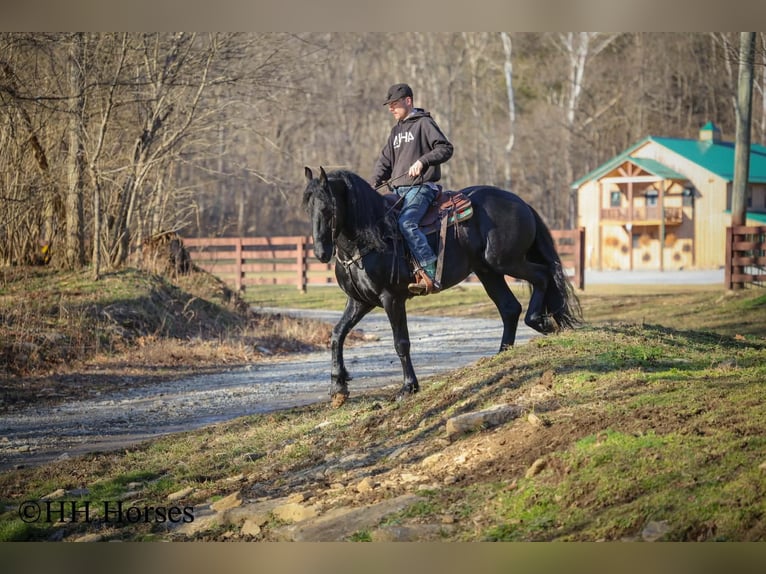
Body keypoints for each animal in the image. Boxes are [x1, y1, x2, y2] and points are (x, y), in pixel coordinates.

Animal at [302, 166, 581, 406]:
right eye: (308, 208)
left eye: (328, 208)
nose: (320, 253)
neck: (371, 237)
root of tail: (521, 203)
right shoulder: (360, 301)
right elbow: (337, 334)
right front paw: (338, 387)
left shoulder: (391, 298)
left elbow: (400, 342)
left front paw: (408, 387)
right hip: (488, 271)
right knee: (510, 308)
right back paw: (502, 353)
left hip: (505, 262)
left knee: (542, 276)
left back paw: (540, 322)